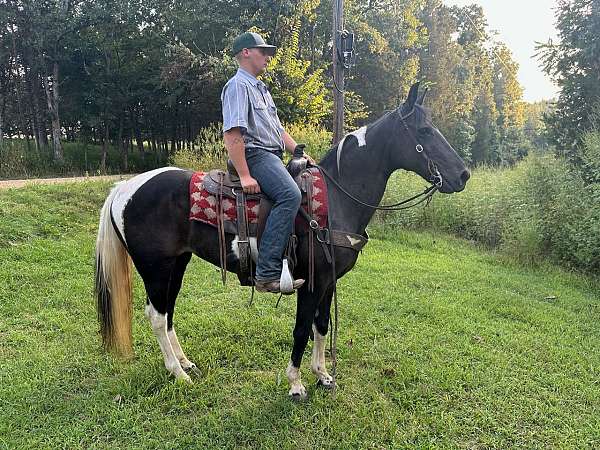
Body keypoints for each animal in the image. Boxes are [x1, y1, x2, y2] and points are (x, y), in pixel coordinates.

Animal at [95, 84, 468, 400]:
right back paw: (178, 373)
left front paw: (323, 375)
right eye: (424, 131)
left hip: (178, 262)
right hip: (155, 267)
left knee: (168, 311)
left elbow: (321, 325)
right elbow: (302, 328)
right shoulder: (311, 282)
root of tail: (124, 187)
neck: (336, 199)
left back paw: (185, 363)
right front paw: (296, 383)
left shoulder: (329, 281)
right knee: (157, 316)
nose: (463, 175)